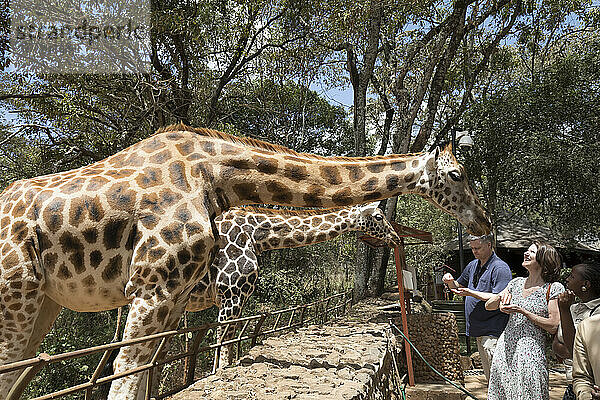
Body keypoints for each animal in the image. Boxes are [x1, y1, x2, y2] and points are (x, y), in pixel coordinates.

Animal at [185, 203, 404, 366]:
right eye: (378, 217)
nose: (396, 238)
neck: (256, 237)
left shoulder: (232, 299)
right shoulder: (231, 294)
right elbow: (222, 345)